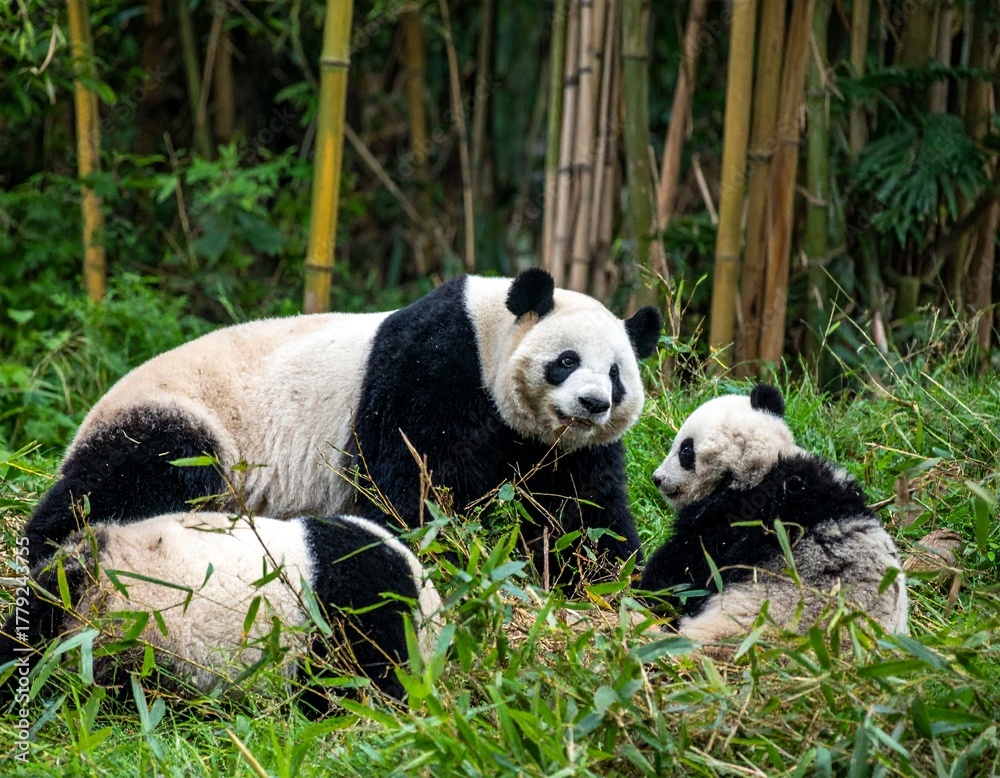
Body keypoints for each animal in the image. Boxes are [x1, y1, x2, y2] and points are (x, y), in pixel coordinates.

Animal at [23, 269, 662, 584]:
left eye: (616, 375)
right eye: (566, 361)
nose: (592, 404)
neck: (489, 333)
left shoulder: (561, 449)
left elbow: (581, 512)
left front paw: (611, 581)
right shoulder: (435, 369)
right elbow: (416, 482)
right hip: (183, 417)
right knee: (140, 475)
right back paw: (59, 544)